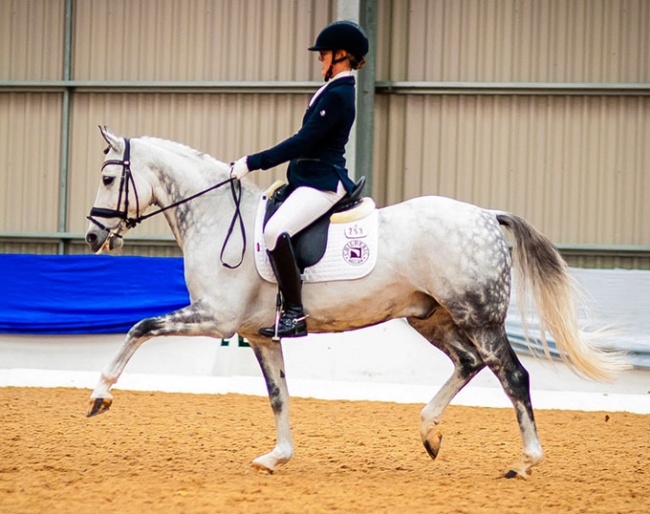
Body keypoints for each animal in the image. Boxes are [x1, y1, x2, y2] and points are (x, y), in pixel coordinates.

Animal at [85, 127, 624, 476]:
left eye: (109, 179)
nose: (92, 236)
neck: (218, 216)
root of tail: (487, 215)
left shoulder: (216, 320)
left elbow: (139, 327)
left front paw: (100, 395)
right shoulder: (259, 335)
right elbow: (279, 394)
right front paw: (277, 457)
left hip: (479, 316)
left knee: (512, 375)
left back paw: (525, 462)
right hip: (431, 317)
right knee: (469, 363)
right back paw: (430, 432)